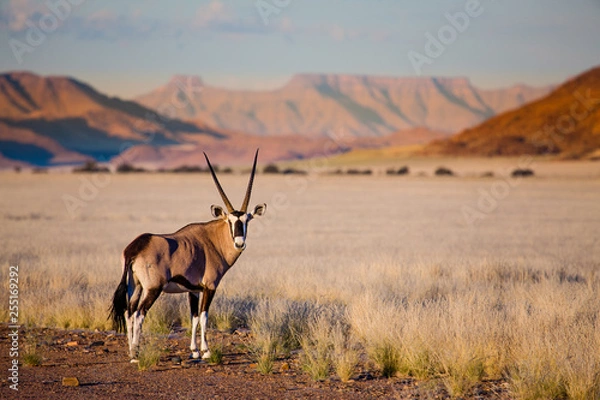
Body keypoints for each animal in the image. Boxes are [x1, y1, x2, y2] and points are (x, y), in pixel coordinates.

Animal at [108, 149, 268, 360]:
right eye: (230, 221)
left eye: (247, 220)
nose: (239, 243)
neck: (212, 240)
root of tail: (135, 247)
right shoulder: (209, 287)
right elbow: (204, 316)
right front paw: (206, 351)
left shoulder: (193, 290)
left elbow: (193, 317)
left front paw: (194, 351)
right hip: (152, 288)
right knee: (140, 313)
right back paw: (135, 354)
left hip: (135, 285)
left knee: (129, 311)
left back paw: (130, 350)